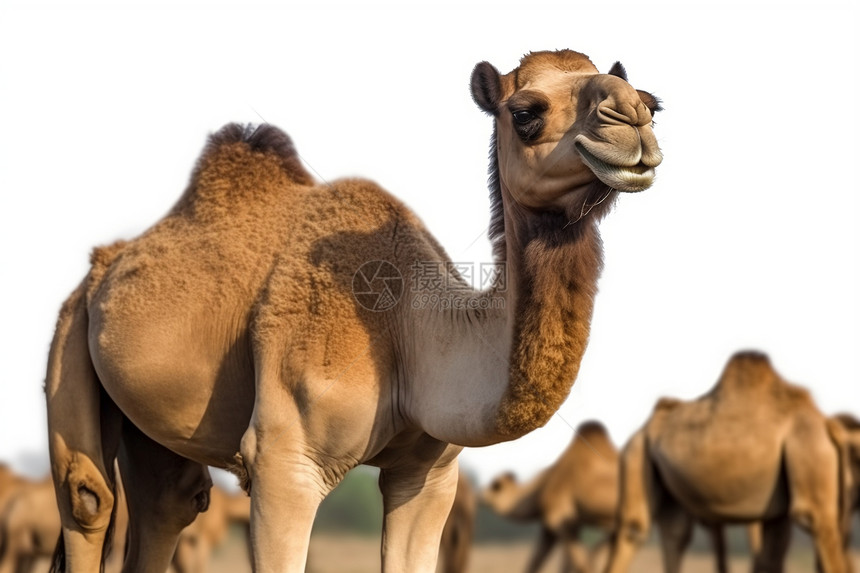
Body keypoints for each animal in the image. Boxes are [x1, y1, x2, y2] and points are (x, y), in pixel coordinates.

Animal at [484, 420, 620, 572]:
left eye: (492, 488)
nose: (479, 496)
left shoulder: (558, 517)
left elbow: (579, 563)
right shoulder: (560, 525)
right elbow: (540, 561)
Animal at [604, 348, 852, 572]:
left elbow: (773, 552)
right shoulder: (807, 446)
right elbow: (808, 519)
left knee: (674, 532)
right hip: (637, 451)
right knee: (636, 528)